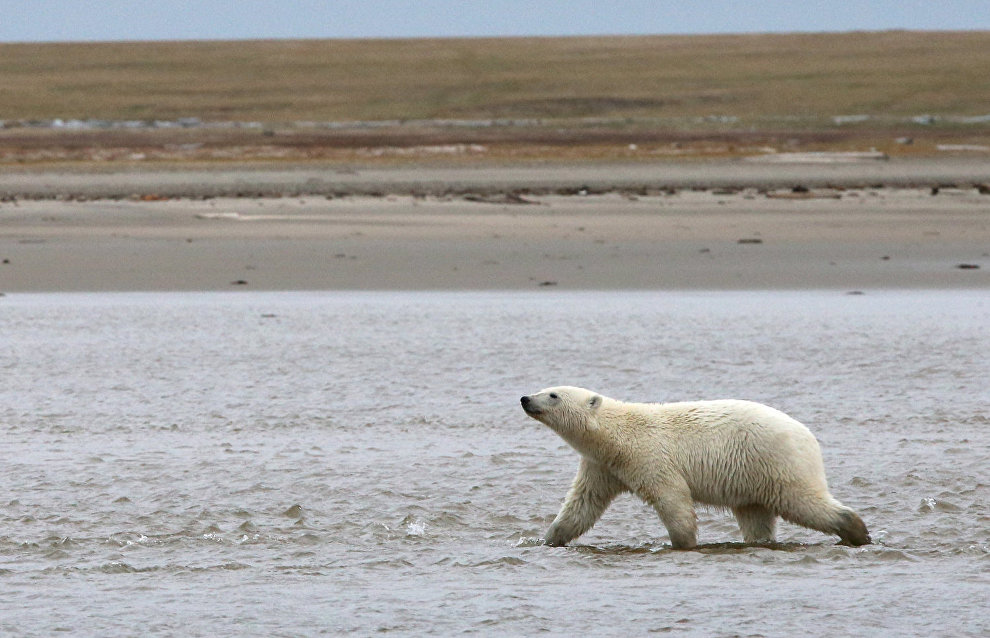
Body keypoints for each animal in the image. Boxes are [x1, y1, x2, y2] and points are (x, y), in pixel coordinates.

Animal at [524, 388, 872, 548]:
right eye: (545, 387)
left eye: (553, 394)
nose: (526, 398)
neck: (617, 435)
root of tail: (808, 436)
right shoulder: (602, 466)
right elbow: (582, 505)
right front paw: (548, 539)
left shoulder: (649, 455)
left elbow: (672, 497)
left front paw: (684, 544)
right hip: (752, 476)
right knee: (755, 516)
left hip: (776, 461)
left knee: (802, 501)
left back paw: (857, 531)